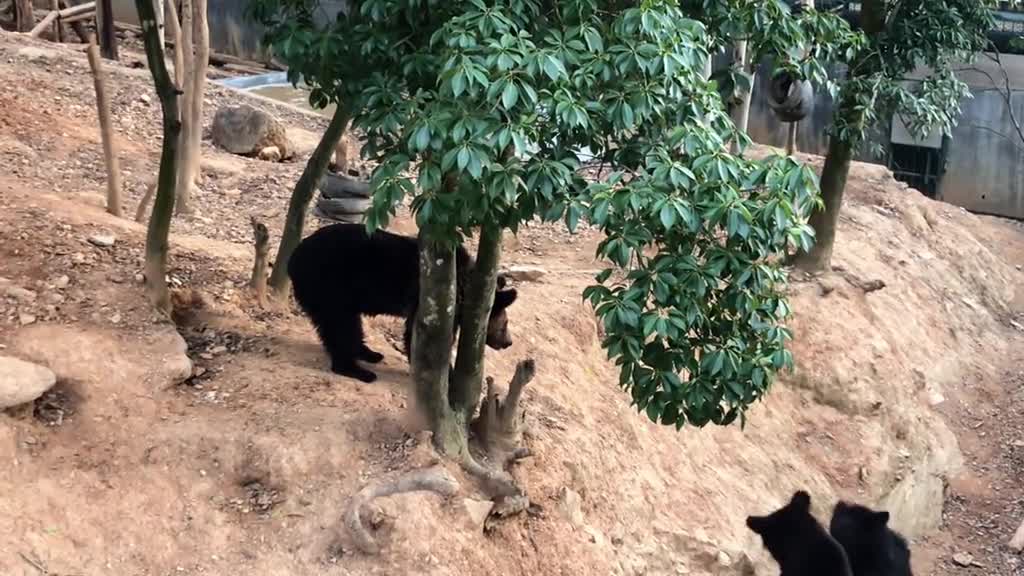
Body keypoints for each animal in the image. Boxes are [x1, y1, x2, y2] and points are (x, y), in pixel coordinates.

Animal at [286, 223, 516, 381]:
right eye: (505, 324)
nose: (509, 342)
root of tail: (292, 260)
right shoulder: (426, 298)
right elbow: (420, 335)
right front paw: (447, 377)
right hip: (328, 286)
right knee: (339, 324)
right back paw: (357, 370)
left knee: (348, 325)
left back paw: (369, 353)